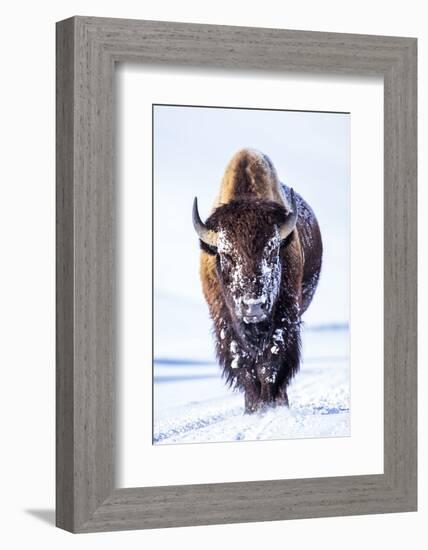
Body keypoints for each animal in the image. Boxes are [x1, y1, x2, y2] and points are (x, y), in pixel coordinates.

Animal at [192, 149, 322, 416]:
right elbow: (243, 364)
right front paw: (253, 408)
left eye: (272, 252)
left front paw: (270, 405)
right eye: (226, 255)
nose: (253, 306)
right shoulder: (225, 322)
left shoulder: (285, 317)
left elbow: (271, 362)